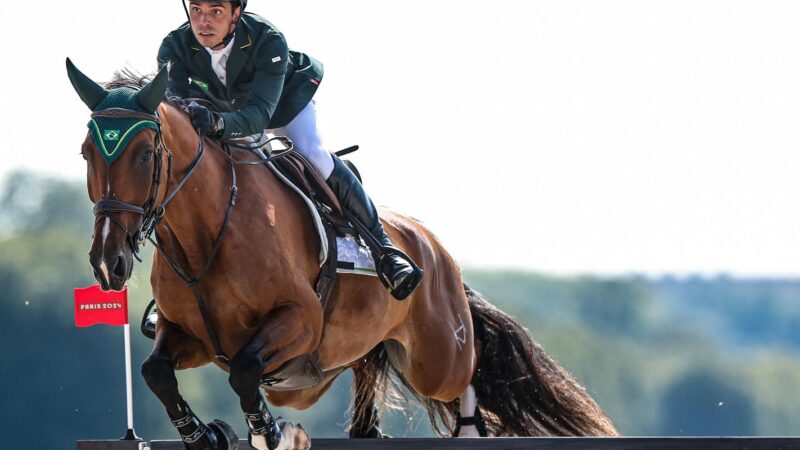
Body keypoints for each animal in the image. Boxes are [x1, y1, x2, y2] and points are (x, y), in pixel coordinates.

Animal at [69, 59, 620, 450]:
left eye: (145, 155)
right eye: (86, 153)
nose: (108, 263)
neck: (206, 234)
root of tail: (437, 251)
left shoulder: (299, 321)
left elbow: (246, 371)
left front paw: (270, 432)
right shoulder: (190, 335)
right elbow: (156, 373)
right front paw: (202, 435)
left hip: (436, 355)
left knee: (467, 372)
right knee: (368, 367)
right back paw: (365, 429)